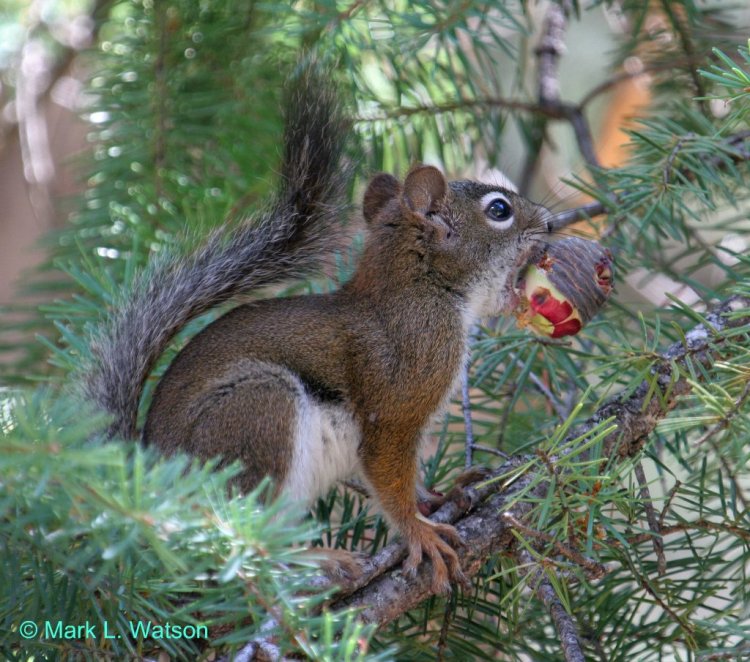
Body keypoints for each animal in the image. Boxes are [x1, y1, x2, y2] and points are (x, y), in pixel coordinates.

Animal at [84, 64, 552, 593]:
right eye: (499, 210)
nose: (550, 223)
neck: (421, 290)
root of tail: (152, 486)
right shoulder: (398, 401)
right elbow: (388, 474)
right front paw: (419, 533)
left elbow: (411, 481)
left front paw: (441, 496)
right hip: (257, 414)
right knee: (235, 537)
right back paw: (315, 558)